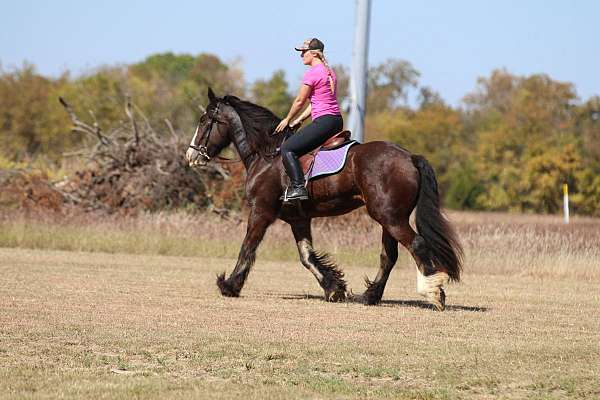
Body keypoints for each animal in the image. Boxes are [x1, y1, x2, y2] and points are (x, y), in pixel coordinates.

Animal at [188, 87, 464, 310]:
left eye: (204, 120)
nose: (191, 155)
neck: (266, 155)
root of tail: (409, 157)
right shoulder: (298, 219)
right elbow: (307, 257)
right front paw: (334, 288)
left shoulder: (260, 212)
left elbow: (247, 248)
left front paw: (230, 285)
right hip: (389, 218)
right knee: (389, 257)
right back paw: (369, 296)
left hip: (390, 218)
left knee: (416, 245)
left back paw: (433, 293)